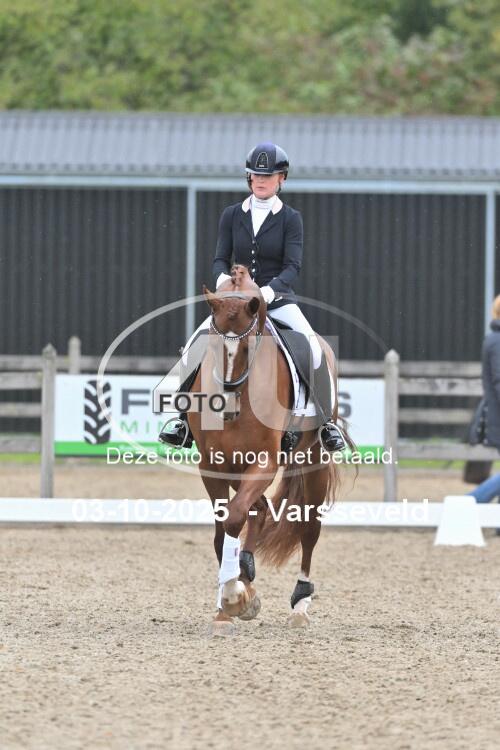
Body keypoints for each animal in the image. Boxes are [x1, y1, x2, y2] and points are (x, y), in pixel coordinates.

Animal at [187, 264, 346, 634]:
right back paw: (245, 571)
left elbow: (233, 519)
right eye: (211, 345)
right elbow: (223, 530)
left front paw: (234, 597)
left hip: (313, 461)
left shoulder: (265, 461)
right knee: (258, 509)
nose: (224, 406)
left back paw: (300, 606)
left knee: (309, 528)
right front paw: (230, 603)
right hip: (237, 468)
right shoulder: (213, 465)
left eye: (249, 348)